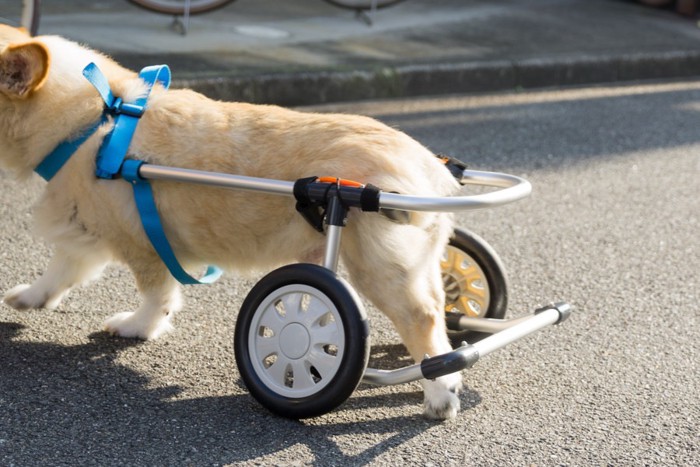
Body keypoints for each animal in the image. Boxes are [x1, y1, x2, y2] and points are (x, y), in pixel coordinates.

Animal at [1, 25, 464, 420]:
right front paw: (28, 298)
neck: (95, 118)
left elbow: (154, 295)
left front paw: (137, 328)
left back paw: (440, 394)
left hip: (374, 266)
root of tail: (432, 173)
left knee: (421, 318)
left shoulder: (139, 243)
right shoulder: (83, 229)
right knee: (439, 307)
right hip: (418, 264)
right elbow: (59, 271)